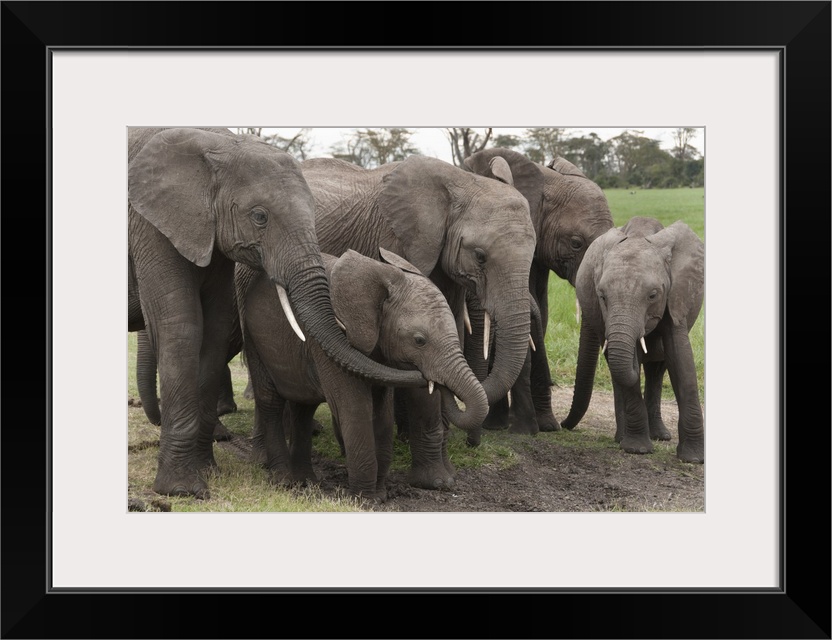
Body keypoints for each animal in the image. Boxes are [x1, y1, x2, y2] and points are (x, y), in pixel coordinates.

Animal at [127, 127, 426, 498]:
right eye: (260, 216)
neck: (216, 144)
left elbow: (214, 330)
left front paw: (207, 471)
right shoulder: (150, 224)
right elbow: (182, 327)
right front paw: (183, 490)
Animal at [237, 246, 490, 500]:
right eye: (419, 340)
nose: (434, 381)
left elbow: (382, 414)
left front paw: (380, 494)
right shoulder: (330, 341)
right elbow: (355, 408)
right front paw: (365, 499)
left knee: (303, 408)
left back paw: (305, 481)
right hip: (254, 339)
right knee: (271, 402)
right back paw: (284, 480)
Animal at [302, 155, 536, 490]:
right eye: (480, 256)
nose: (472, 444)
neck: (459, 182)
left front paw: (448, 475)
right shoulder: (395, 242)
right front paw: (436, 482)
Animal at [464, 150, 616, 436]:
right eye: (576, 243)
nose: (567, 425)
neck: (546, 181)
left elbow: (540, 314)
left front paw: (543, 425)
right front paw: (527, 427)